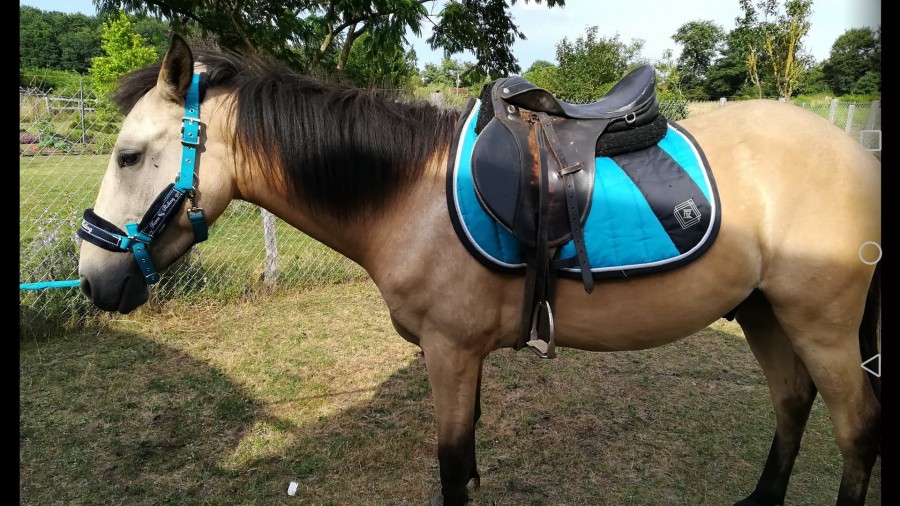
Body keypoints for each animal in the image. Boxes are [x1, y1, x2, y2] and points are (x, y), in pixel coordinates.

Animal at [76, 34, 881, 506]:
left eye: (128, 156)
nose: (93, 280)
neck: (407, 193)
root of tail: (855, 153)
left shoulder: (451, 353)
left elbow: (452, 470)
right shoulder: (462, 359)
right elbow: (466, 468)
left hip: (823, 325)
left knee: (856, 429)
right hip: (764, 310)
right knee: (792, 403)